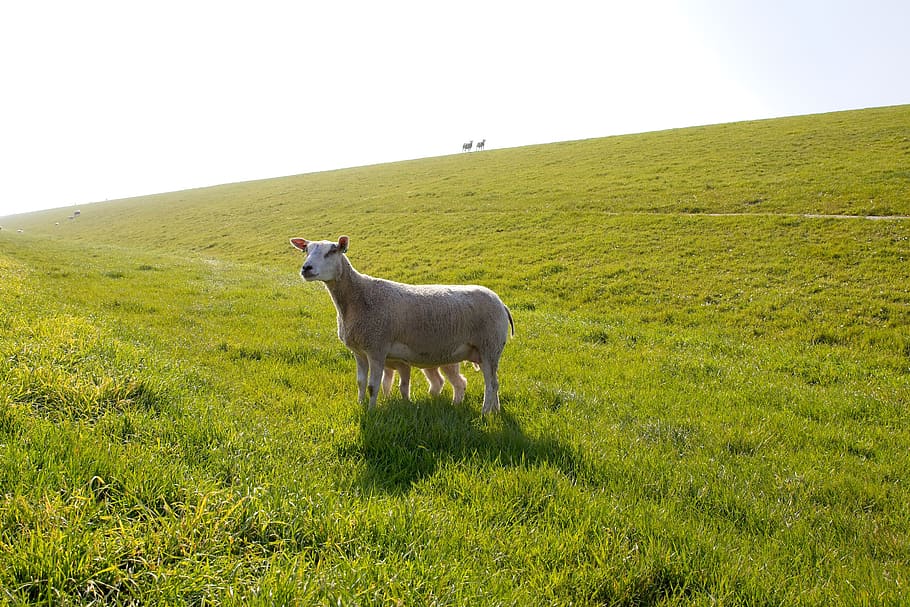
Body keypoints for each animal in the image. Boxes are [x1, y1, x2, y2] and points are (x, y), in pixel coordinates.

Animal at [290, 235, 513, 413]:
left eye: (332, 251)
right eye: (306, 250)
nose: (306, 268)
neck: (357, 298)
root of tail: (501, 303)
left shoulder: (377, 348)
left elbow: (373, 386)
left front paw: (371, 412)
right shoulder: (359, 352)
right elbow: (361, 383)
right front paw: (360, 405)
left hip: (490, 346)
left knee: (491, 384)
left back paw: (484, 413)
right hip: (485, 351)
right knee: (493, 383)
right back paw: (494, 411)